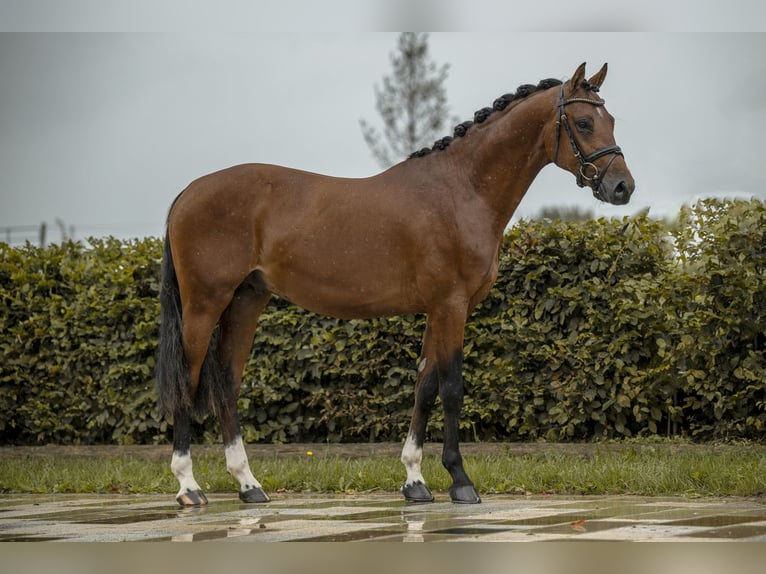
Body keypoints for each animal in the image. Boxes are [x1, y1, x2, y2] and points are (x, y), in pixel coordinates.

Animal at [154, 63, 636, 508]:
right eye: (584, 122)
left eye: (611, 119)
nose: (622, 187)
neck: (460, 189)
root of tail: (187, 193)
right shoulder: (451, 306)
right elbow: (451, 388)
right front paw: (461, 481)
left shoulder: (438, 311)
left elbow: (424, 387)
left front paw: (415, 481)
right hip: (204, 305)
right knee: (188, 380)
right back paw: (189, 488)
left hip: (246, 301)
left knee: (227, 384)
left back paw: (248, 485)